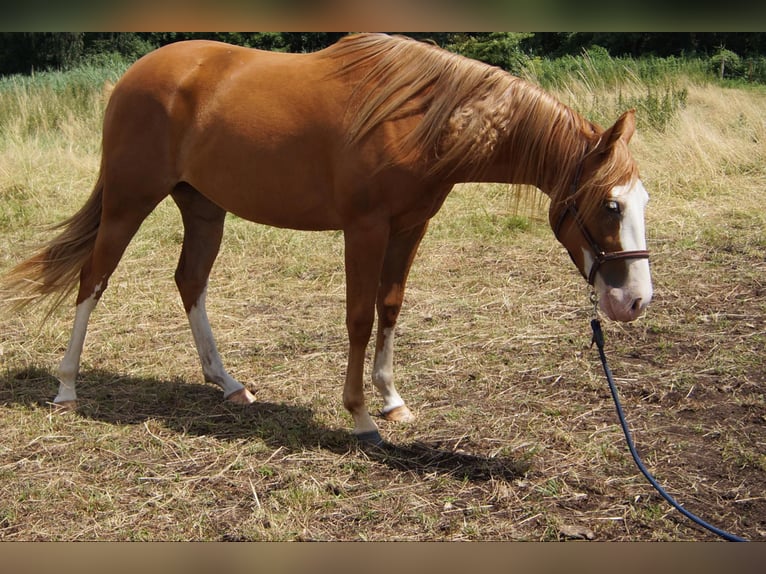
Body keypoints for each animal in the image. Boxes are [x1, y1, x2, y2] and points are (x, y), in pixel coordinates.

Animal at [1, 33, 656, 446]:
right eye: (609, 203)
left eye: (642, 201)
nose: (634, 301)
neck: (422, 120)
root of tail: (134, 77)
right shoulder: (364, 229)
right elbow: (360, 316)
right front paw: (361, 417)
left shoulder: (410, 227)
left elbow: (390, 307)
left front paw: (392, 399)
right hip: (129, 201)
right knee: (94, 279)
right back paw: (66, 387)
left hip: (204, 209)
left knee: (190, 281)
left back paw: (228, 384)